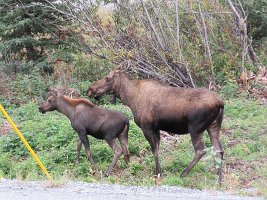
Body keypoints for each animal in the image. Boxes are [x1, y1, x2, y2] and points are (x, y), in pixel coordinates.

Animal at [88, 69, 226, 182]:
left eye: (107, 77)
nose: (90, 89)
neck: (130, 98)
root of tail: (221, 103)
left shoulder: (147, 126)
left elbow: (154, 151)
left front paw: (158, 173)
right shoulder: (157, 128)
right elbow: (158, 150)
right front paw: (159, 171)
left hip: (195, 128)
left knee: (200, 150)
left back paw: (183, 173)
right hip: (213, 127)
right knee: (219, 149)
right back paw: (218, 180)